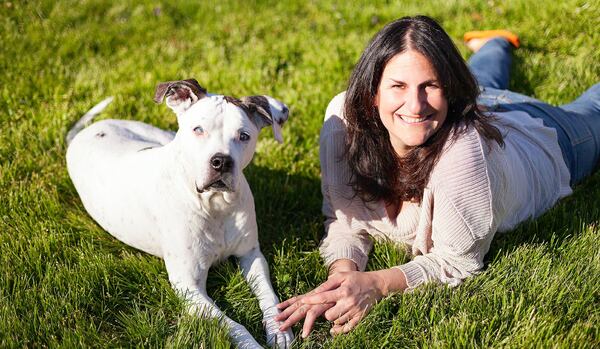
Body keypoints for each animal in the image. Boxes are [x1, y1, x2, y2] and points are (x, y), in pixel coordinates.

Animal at [66, 79, 296, 348]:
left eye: (244, 136)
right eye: (198, 129)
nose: (221, 161)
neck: (215, 205)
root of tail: (86, 131)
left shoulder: (251, 254)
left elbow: (270, 296)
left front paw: (279, 330)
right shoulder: (188, 287)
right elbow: (234, 326)